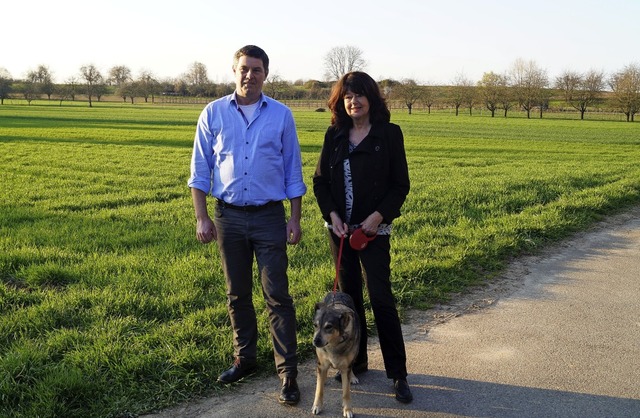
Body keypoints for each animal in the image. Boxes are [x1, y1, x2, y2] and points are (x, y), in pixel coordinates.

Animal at [312, 290, 362, 418]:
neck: (334, 344)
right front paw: (317, 406)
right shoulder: (321, 364)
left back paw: (353, 377)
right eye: (315, 325)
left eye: (329, 327)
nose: (315, 341)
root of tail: (338, 292)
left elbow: (346, 392)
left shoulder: (345, 368)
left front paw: (347, 409)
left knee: (352, 365)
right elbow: (319, 390)